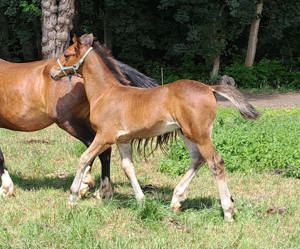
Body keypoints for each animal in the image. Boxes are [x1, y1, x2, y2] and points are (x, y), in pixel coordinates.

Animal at [50, 33, 258, 222]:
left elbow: (84, 159)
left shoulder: (104, 136)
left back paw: (228, 211)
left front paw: (72, 198)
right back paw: (176, 200)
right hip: (186, 133)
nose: (52, 72)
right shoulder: (123, 140)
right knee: (198, 159)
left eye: (67, 54)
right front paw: (142, 201)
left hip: (199, 134)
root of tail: (209, 88)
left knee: (216, 163)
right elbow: (128, 168)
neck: (106, 93)